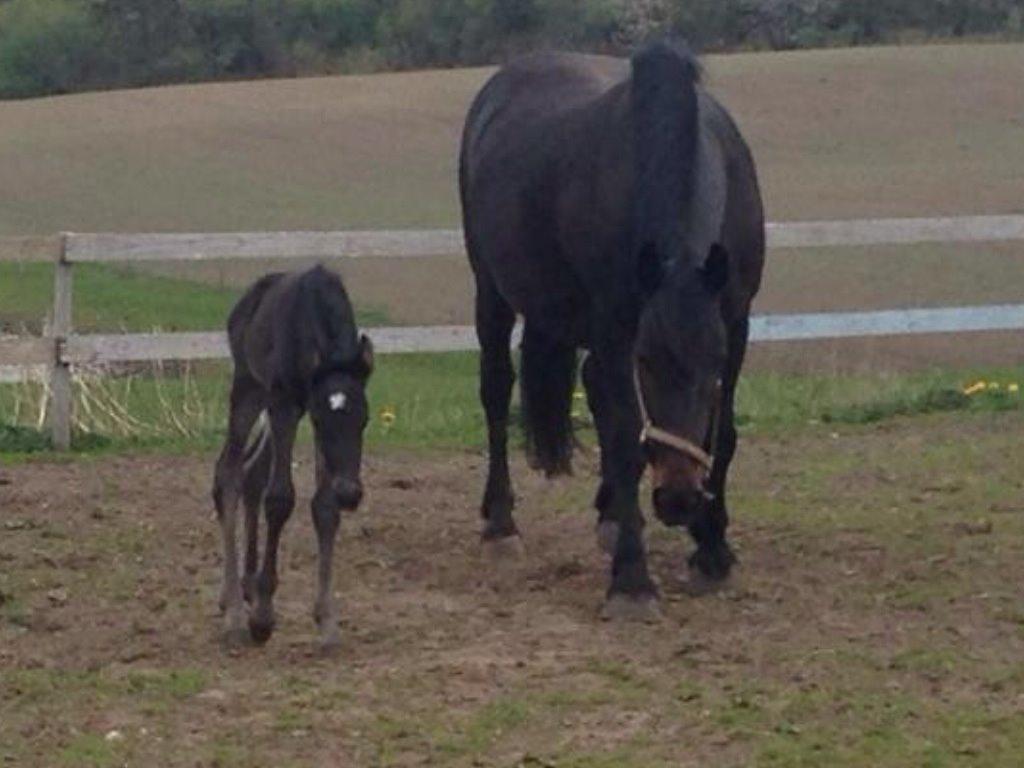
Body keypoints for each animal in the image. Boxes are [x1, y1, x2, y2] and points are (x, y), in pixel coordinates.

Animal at [214, 266, 374, 651]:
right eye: (319, 419)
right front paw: (262, 618)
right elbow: (280, 500)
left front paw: (327, 621)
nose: (351, 492)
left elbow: (324, 508)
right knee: (228, 474)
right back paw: (235, 613)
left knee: (252, 474)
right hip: (249, 389)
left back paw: (242, 589)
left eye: (365, 418)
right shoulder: (286, 404)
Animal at [460, 40, 765, 618]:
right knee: (495, 391)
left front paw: (712, 549)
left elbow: (725, 432)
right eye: (647, 359)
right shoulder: (615, 326)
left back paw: (612, 515)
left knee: (594, 388)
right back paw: (500, 526)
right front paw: (631, 581)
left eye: (713, 361)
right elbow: (625, 437)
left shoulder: (736, 321)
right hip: (491, 290)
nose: (678, 499)